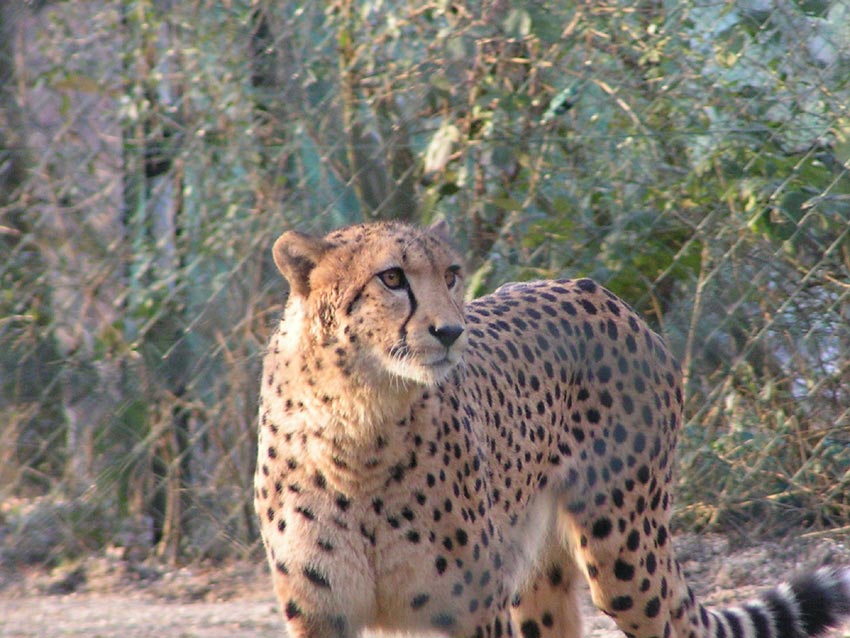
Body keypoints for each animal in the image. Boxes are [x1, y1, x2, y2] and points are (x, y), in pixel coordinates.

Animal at [253, 221, 848, 638]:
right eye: (392, 278)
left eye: (450, 275)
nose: (451, 331)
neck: (359, 422)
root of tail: (599, 293)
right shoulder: (321, 615)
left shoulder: (471, 610)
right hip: (538, 577)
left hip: (625, 555)